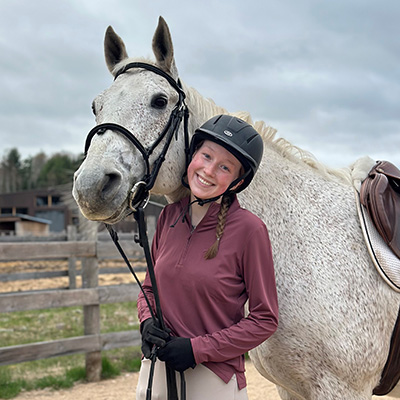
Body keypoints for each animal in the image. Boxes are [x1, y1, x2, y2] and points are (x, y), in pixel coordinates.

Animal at [72, 16, 400, 400]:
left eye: (160, 101)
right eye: (97, 106)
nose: (92, 186)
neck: (300, 243)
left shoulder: (342, 389)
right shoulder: (290, 388)